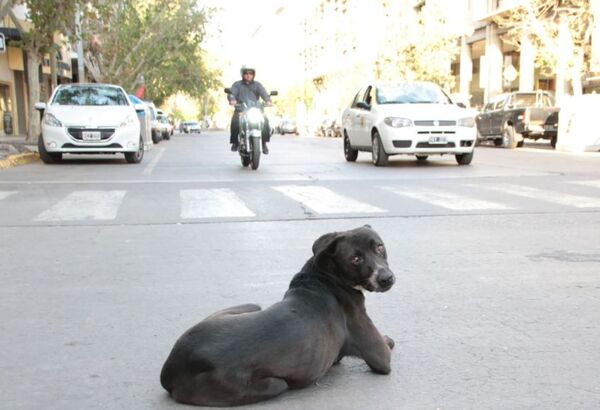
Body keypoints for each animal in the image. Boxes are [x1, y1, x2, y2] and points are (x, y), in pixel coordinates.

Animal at [161, 224, 394, 406]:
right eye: (355, 258)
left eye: (379, 247)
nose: (387, 278)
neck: (326, 276)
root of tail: (171, 367)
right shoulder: (380, 356)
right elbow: (387, 346)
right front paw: (388, 339)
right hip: (273, 384)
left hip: (240, 310)